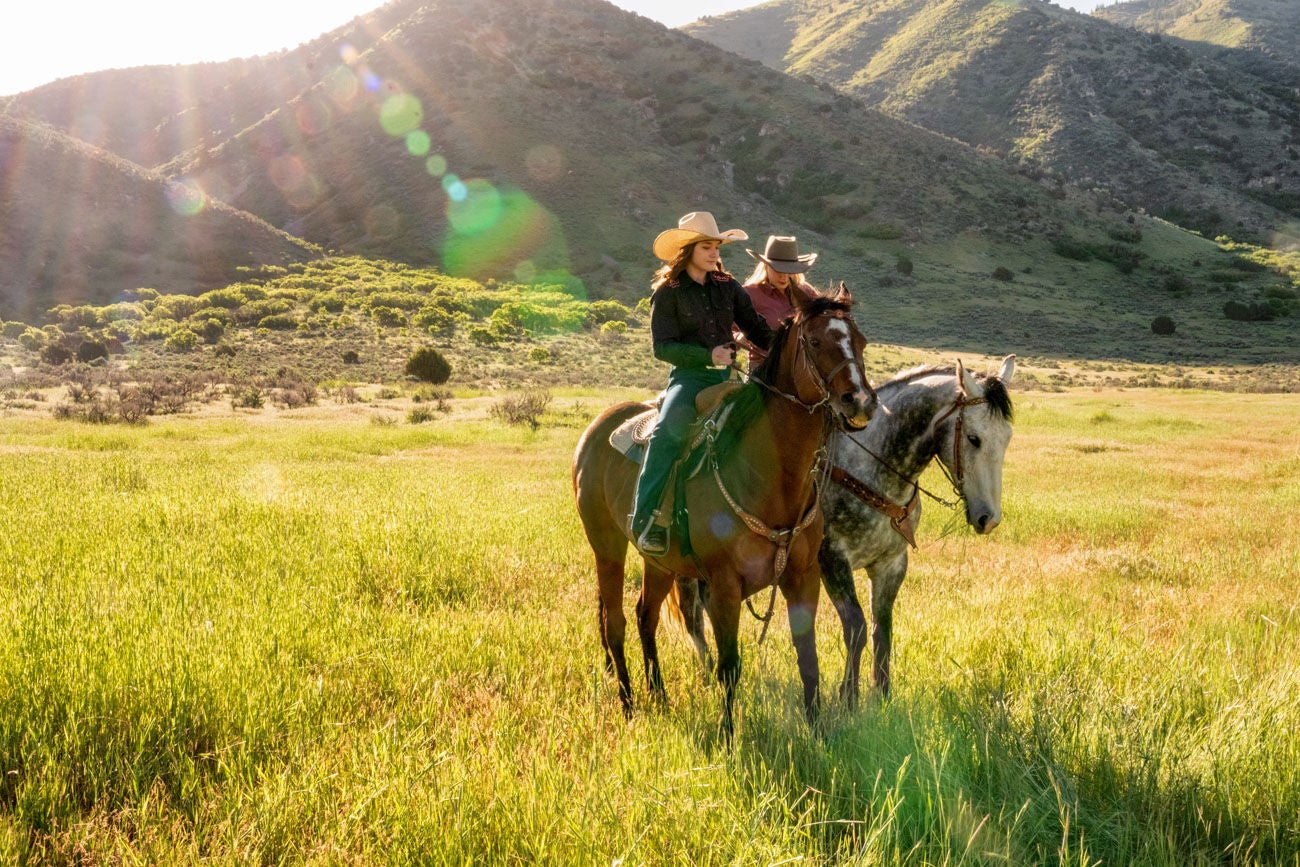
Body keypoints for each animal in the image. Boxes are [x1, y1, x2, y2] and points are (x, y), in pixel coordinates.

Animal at [569, 285, 873, 738]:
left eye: (861, 341)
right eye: (816, 341)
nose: (860, 401)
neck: (771, 477)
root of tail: (598, 426)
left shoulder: (803, 578)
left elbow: (809, 659)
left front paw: (817, 729)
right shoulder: (724, 587)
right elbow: (729, 666)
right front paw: (728, 735)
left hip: (658, 562)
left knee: (645, 615)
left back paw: (659, 696)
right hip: (605, 546)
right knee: (615, 622)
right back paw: (628, 704)